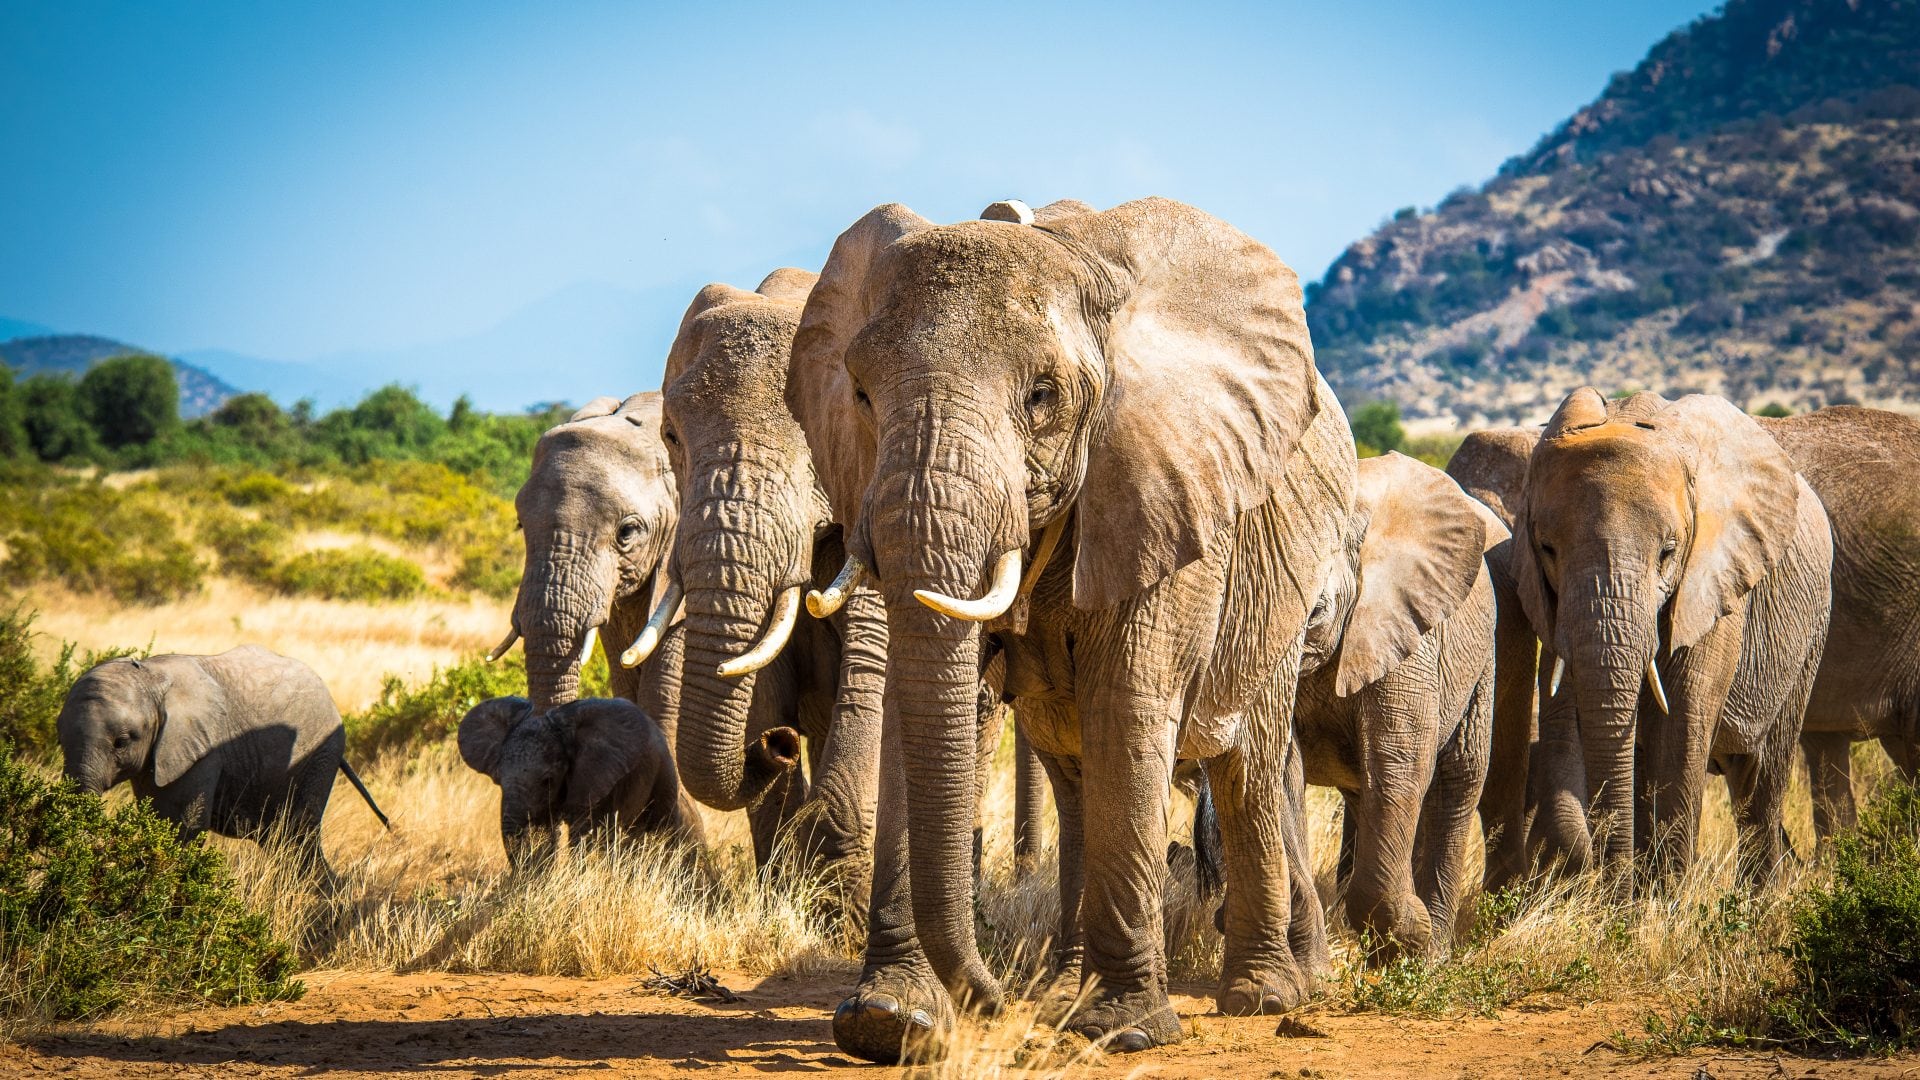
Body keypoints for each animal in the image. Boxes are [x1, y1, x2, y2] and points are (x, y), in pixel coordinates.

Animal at [58, 641, 385, 868]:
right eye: (60, 740)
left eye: (122, 742)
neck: (150, 675)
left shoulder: (201, 750)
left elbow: (180, 826)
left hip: (319, 757)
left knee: (297, 837)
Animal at [453, 691, 702, 860]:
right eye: (499, 780)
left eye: (548, 780)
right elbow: (545, 832)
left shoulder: (599, 778)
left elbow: (586, 834)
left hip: (663, 774)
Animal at [787, 193, 1359, 1053]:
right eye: (858, 394)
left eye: (1042, 396)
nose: (993, 999)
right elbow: (917, 703)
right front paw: (889, 1023)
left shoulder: (1163, 489)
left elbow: (1127, 699)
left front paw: (1125, 1034)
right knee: (1079, 774)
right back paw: (1064, 995)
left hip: (1283, 594)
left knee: (1248, 764)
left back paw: (1262, 996)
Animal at [1505, 388, 1835, 883]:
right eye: (1547, 549)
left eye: (1668, 552)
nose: (1613, 887)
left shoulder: (1713, 587)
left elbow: (1678, 729)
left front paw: (1661, 899)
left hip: (1811, 631)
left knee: (1760, 785)